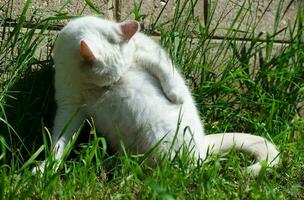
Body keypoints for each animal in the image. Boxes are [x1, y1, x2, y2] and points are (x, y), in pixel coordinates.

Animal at [34, 16, 280, 175]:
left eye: (118, 76)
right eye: (109, 79)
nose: (114, 86)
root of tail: (202, 144)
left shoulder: (145, 51)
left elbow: (165, 72)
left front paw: (176, 96)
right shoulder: (70, 105)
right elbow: (61, 142)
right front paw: (47, 167)